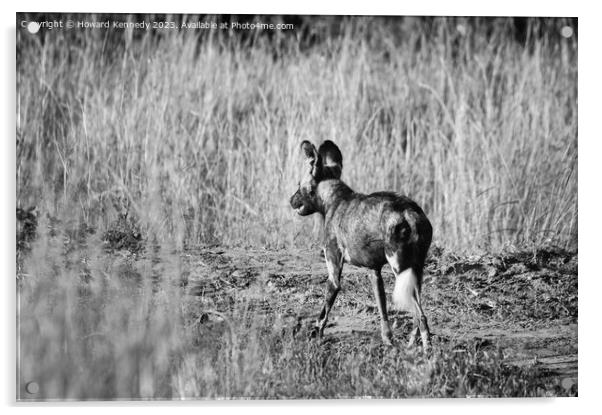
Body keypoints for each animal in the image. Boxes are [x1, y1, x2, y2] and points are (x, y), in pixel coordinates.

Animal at [288, 141, 428, 350]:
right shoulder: (374, 272)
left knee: (422, 317)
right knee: (418, 316)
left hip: (401, 272)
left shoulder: (334, 271)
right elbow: (383, 312)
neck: (334, 200)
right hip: (415, 275)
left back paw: (428, 353)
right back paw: (412, 347)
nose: (290, 200)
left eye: (299, 184)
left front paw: (315, 335)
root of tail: (408, 212)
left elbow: (323, 313)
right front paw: (388, 341)